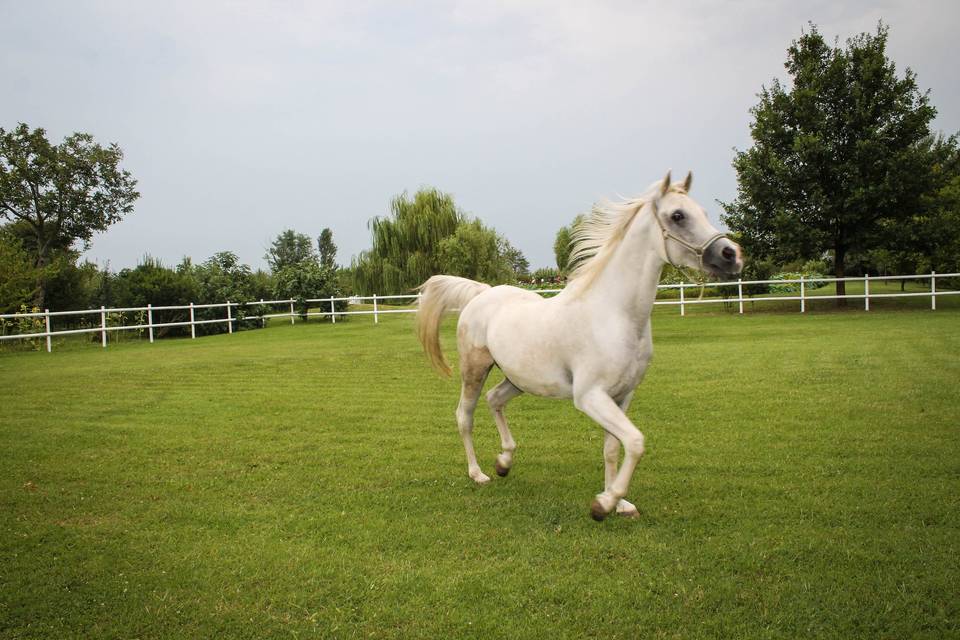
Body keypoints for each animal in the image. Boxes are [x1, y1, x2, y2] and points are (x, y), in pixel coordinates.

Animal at [414, 171, 744, 520]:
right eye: (678, 216)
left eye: (703, 212)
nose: (731, 255)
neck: (613, 313)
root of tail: (482, 293)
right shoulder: (590, 397)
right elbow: (636, 441)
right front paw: (604, 504)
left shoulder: (622, 396)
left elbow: (613, 447)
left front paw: (619, 503)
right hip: (475, 368)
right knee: (465, 415)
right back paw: (478, 473)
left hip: (518, 379)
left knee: (495, 400)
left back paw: (504, 462)